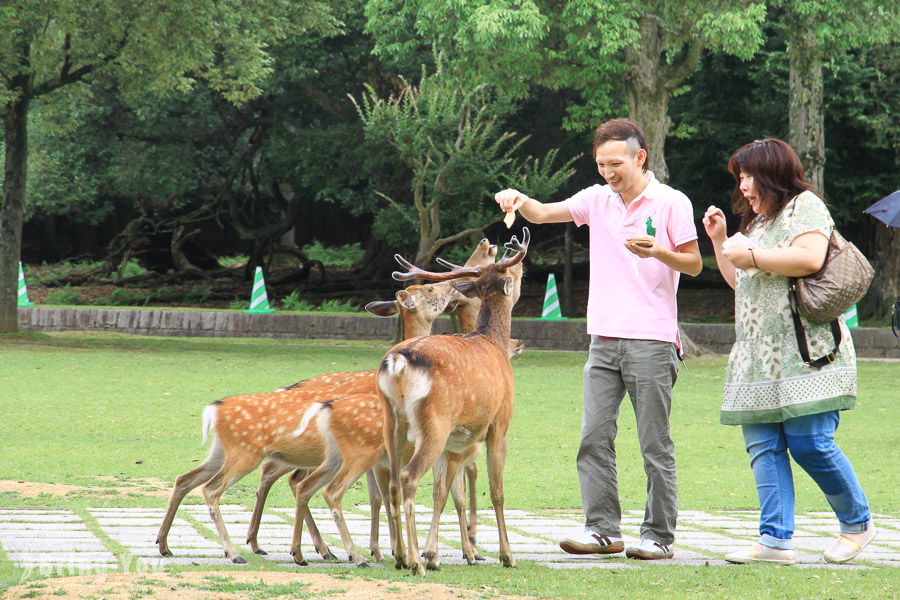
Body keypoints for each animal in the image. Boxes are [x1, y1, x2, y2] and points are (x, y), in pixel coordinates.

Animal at [376, 227, 532, 576]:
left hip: (394, 420)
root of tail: (397, 362)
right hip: (434, 421)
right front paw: (507, 556)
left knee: (392, 482)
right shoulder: (500, 423)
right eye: (514, 271)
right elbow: (498, 492)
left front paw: (442, 553)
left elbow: (443, 491)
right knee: (408, 478)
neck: (494, 342)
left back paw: (401, 556)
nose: (520, 263)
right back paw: (416, 563)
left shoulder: (455, 441)